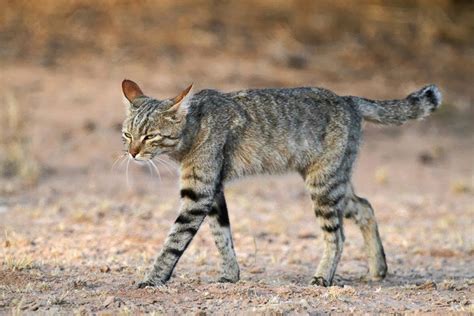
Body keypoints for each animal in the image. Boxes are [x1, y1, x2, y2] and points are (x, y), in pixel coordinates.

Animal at [120, 79, 442, 286]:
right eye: (127, 134)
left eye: (150, 136)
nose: (132, 152)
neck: (193, 129)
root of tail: (348, 98)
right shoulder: (213, 192)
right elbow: (222, 236)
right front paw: (231, 275)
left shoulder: (199, 194)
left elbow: (174, 241)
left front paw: (153, 278)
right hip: (334, 181)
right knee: (365, 206)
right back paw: (378, 269)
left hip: (323, 186)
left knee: (337, 235)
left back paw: (324, 276)